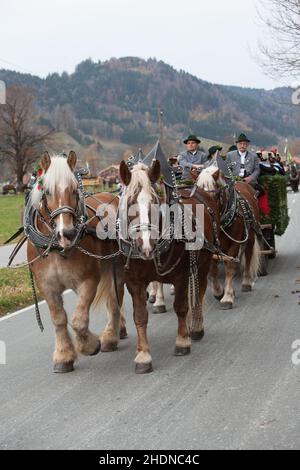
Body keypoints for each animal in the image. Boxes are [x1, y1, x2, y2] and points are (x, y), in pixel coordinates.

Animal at [27, 152, 126, 372]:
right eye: (47, 191)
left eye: (73, 189)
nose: (67, 233)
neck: (58, 249)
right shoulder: (47, 286)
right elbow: (59, 319)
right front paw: (64, 356)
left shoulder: (88, 281)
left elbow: (78, 320)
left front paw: (90, 345)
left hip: (116, 269)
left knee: (114, 300)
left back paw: (110, 336)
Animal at [119, 160, 220, 372]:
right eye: (130, 202)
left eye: (154, 201)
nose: (146, 246)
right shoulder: (133, 281)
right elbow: (140, 316)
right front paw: (143, 355)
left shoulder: (180, 274)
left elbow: (181, 307)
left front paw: (182, 341)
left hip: (204, 262)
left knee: (199, 293)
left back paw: (195, 327)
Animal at [197, 167, 260, 310]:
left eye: (214, 195)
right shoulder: (211, 245)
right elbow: (213, 269)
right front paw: (218, 291)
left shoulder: (234, 243)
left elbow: (230, 267)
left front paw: (227, 297)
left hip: (250, 235)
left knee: (247, 255)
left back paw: (246, 282)